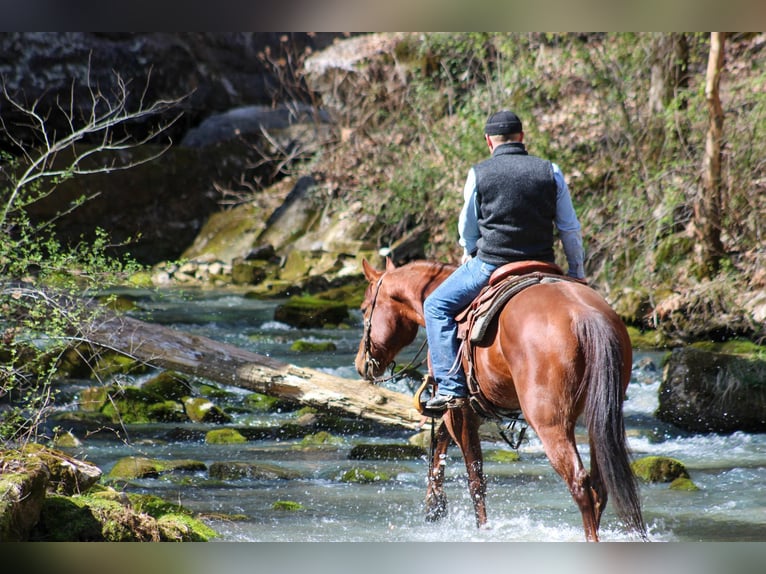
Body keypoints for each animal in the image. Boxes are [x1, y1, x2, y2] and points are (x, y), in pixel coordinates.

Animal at [356, 258, 648, 544]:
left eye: (363, 309)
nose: (361, 364)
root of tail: (584, 314)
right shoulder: (463, 409)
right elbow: (439, 442)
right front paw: (435, 506)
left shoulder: (459, 409)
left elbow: (474, 477)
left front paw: (479, 527)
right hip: (599, 417)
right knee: (600, 486)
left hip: (550, 423)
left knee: (580, 483)